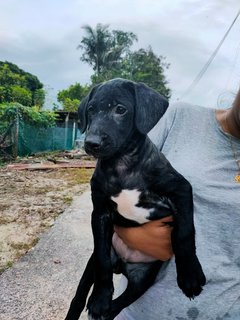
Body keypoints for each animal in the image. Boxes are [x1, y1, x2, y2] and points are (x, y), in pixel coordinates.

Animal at [65, 78, 206, 320]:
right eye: (91, 110)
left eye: (120, 109)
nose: (91, 143)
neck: (122, 163)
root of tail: (123, 264)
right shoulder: (100, 213)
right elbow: (103, 262)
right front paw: (100, 298)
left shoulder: (180, 190)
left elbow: (184, 233)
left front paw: (190, 275)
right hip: (93, 264)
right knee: (82, 293)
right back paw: (96, 304)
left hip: (144, 279)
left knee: (121, 303)